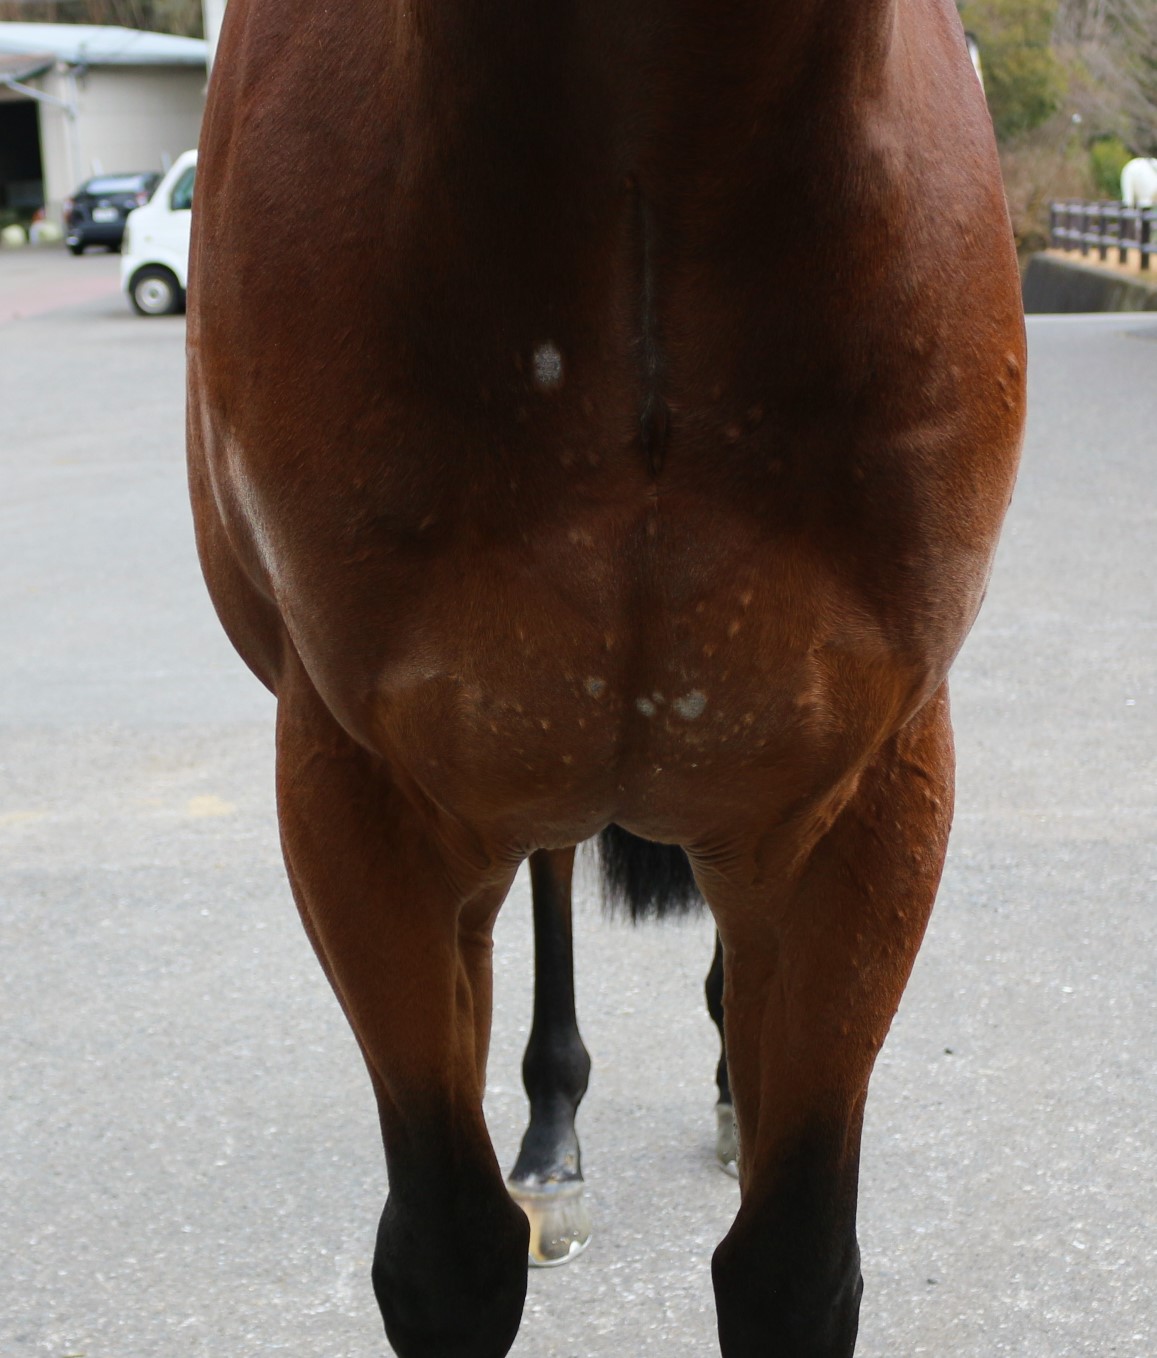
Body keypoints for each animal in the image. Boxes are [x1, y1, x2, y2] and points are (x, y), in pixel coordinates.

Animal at [186, 0, 1026, 1352]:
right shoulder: (362, 799)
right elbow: (448, 1253)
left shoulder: (865, 795)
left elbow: (792, 1266)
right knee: (552, 864)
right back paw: (550, 1139)